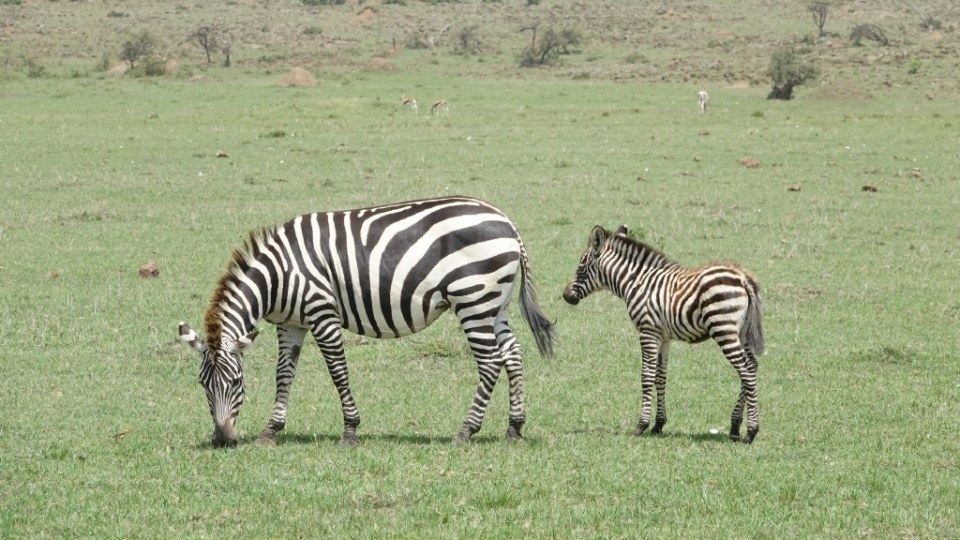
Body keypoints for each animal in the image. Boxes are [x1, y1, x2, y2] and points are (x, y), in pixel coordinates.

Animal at [178, 195, 556, 448]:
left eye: (237, 382)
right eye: (202, 384)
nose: (222, 440)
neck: (278, 276)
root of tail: (507, 222)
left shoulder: (322, 314)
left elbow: (338, 373)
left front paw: (350, 431)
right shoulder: (290, 324)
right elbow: (283, 375)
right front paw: (271, 430)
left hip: (473, 298)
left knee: (491, 361)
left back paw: (466, 431)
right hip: (494, 303)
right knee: (513, 353)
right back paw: (514, 428)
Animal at [564, 224, 764, 442]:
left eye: (581, 267)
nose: (566, 296)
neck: (637, 282)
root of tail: (743, 278)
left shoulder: (647, 331)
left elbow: (647, 375)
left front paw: (641, 426)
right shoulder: (664, 337)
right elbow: (660, 376)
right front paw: (658, 424)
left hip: (723, 328)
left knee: (746, 371)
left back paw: (750, 432)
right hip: (742, 332)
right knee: (752, 366)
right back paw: (735, 427)